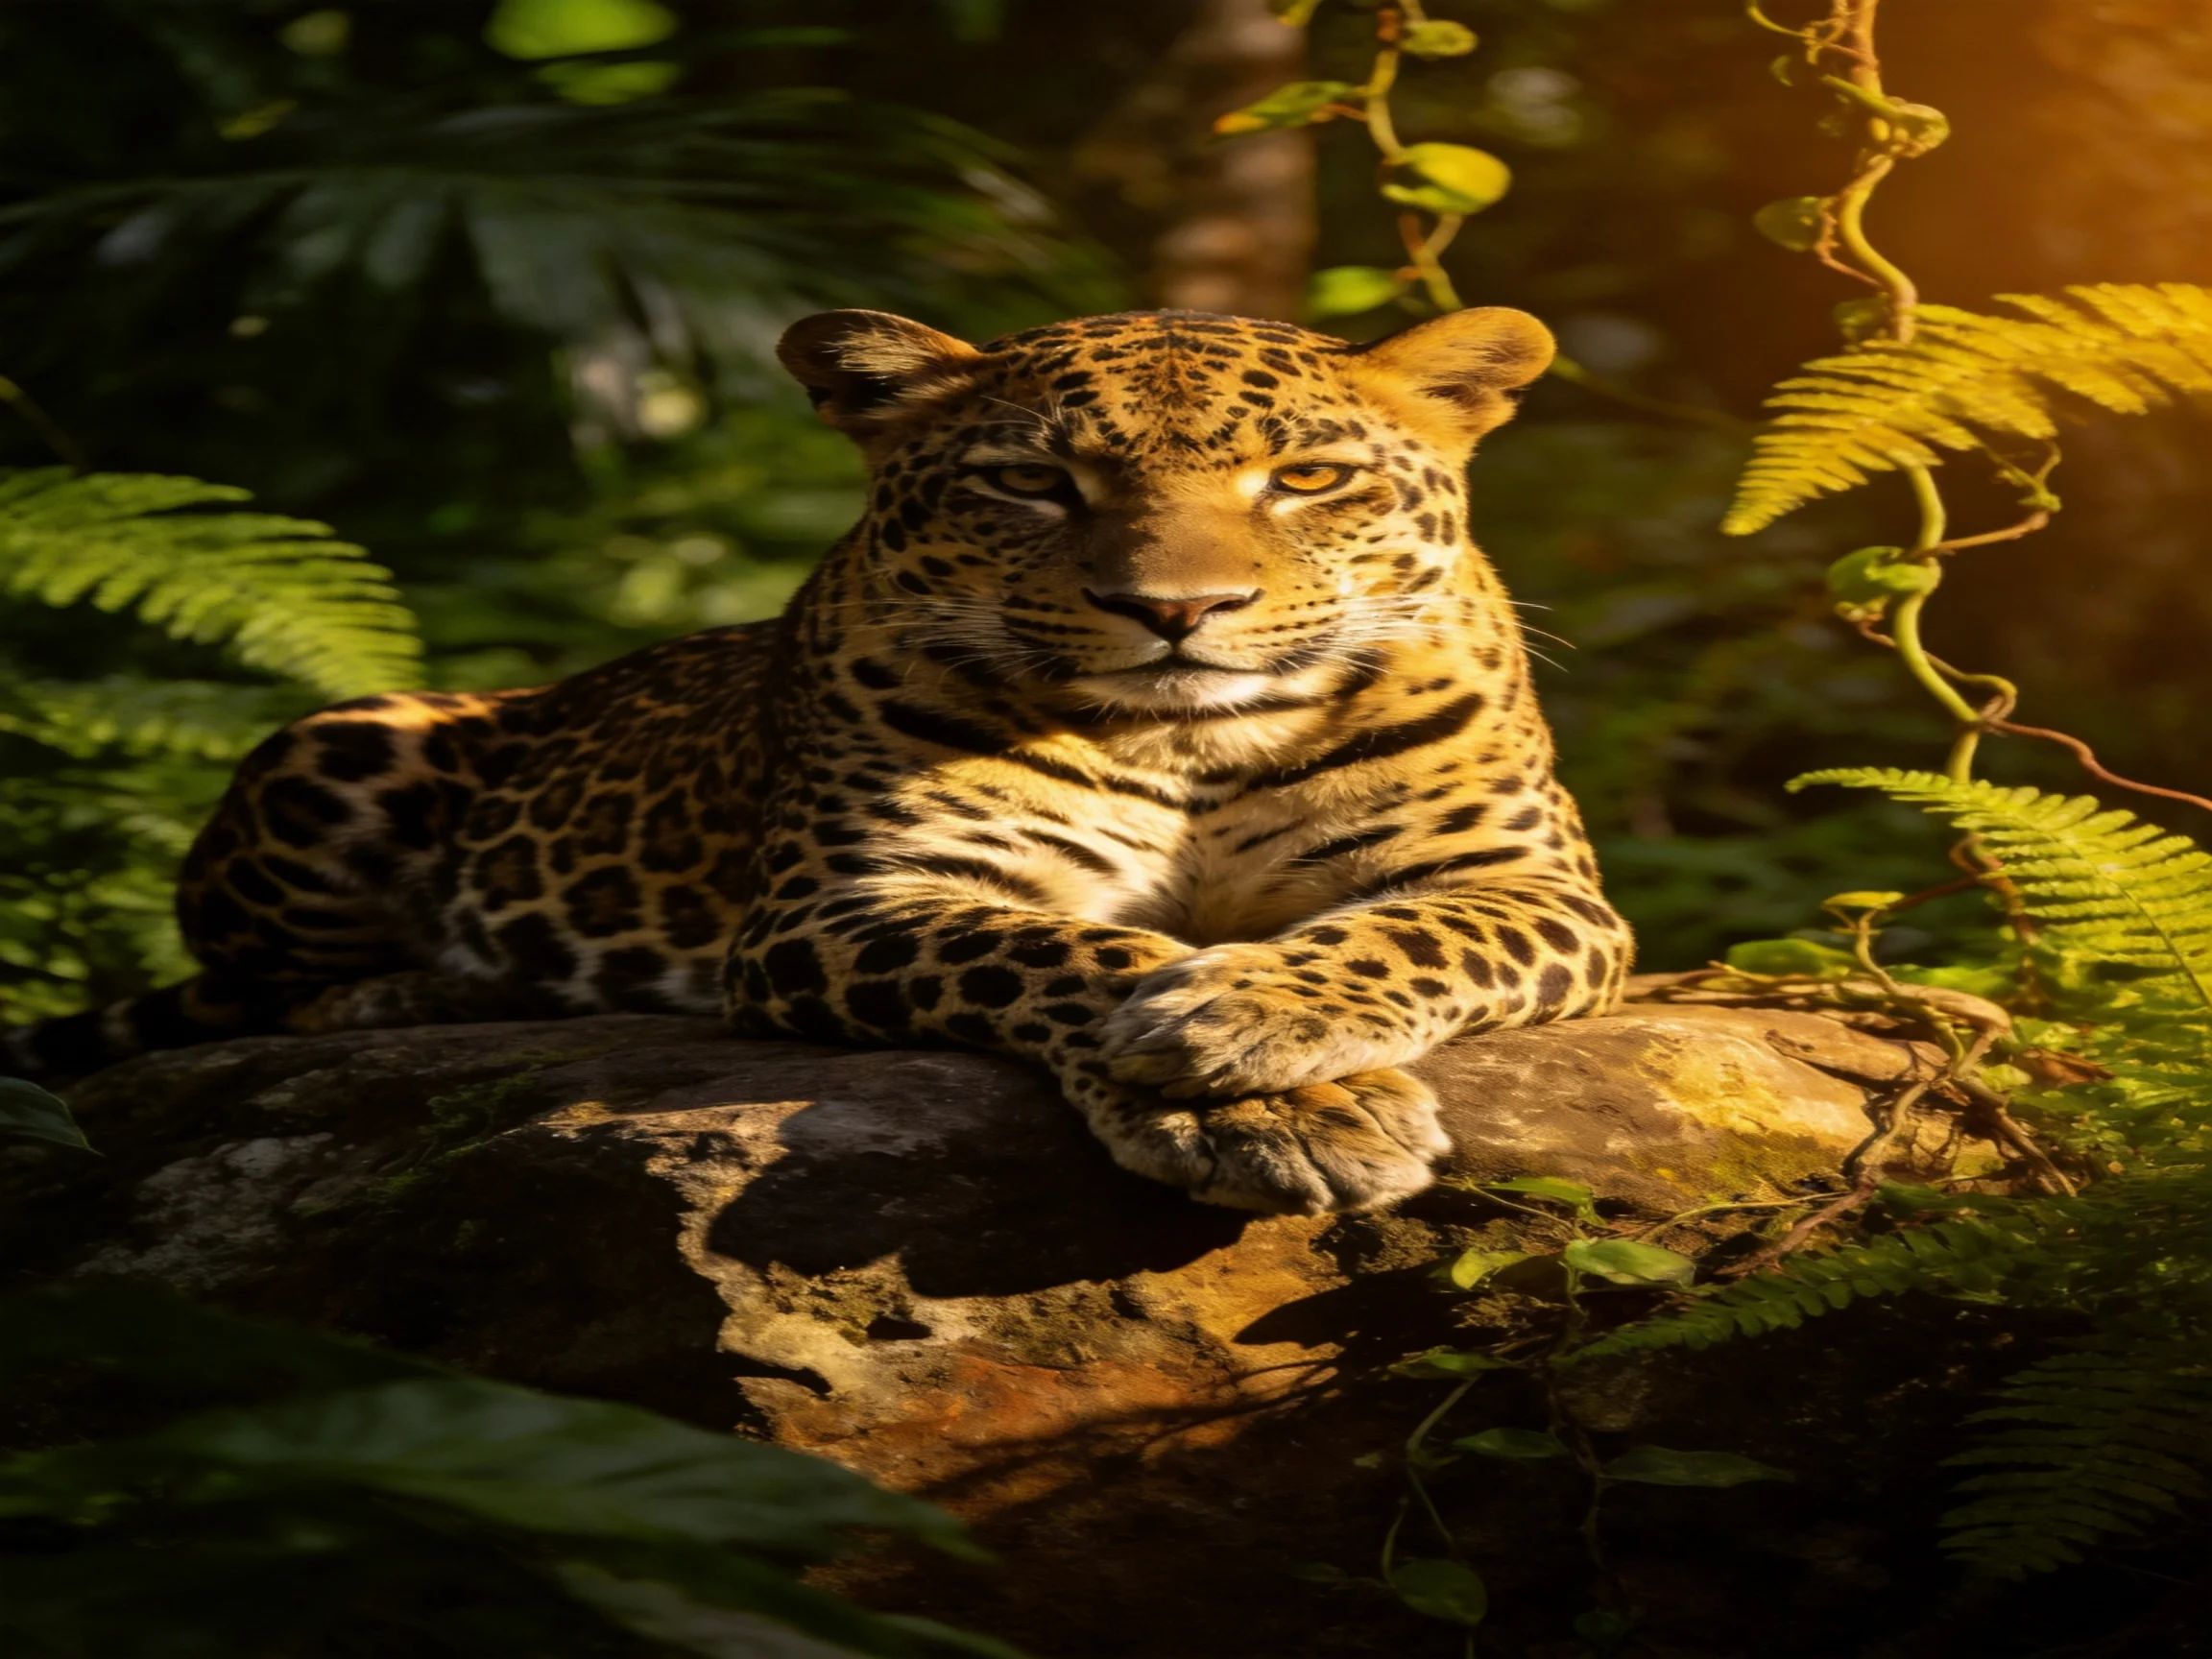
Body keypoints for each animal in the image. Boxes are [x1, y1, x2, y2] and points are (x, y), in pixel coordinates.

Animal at [3, 304, 1634, 1215]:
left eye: (1306, 477)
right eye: (1032, 481)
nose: (1177, 612)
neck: (1192, 739)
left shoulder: (1531, 887)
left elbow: (1396, 939)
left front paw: (1249, 1027)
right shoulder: (848, 902)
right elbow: (1059, 951)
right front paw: (1268, 1101)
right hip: (339, 742)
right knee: (251, 992)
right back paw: (410, 995)